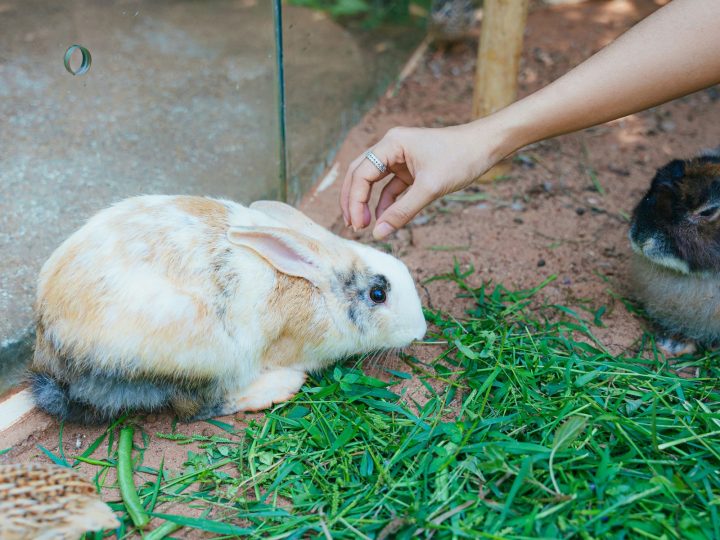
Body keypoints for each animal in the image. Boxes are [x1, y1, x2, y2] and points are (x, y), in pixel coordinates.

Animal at [29, 196, 427, 424]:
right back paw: (278, 387)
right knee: (195, 409)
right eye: (378, 294)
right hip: (207, 358)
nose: (421, 331)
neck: (320, 291)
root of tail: (54, 356)